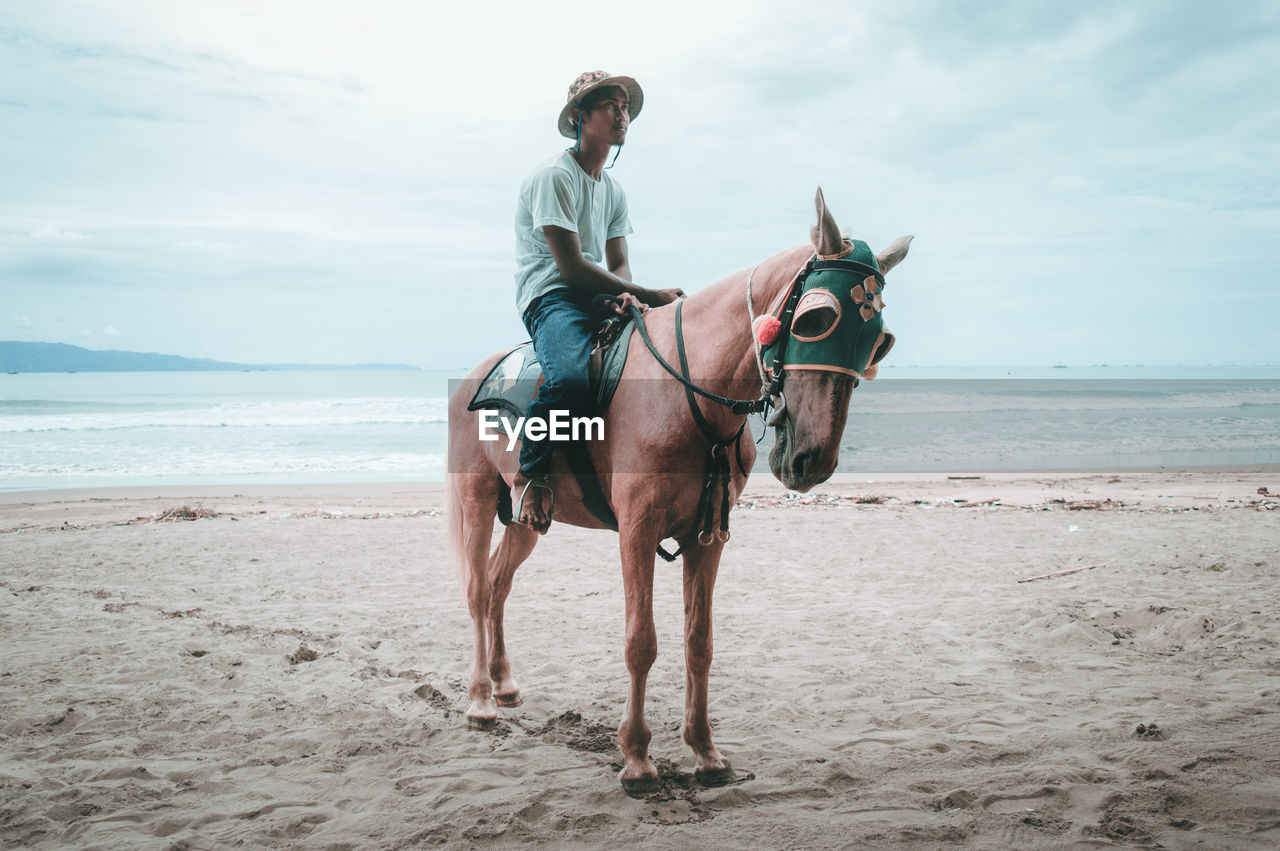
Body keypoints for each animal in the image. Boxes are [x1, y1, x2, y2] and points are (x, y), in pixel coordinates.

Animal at [448, 189, 911, 793]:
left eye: (879, 341)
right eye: (816, 318)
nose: (812, 459)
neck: (688, 393)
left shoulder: (708, 535)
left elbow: (699, 642)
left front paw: (705, 752)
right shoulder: (637, 531)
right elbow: (641, 643)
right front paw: (637, 757)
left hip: (529, 515)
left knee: (500, 587)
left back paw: (503, 686)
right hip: (478, 501)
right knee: (480, 591)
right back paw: (480, 700)